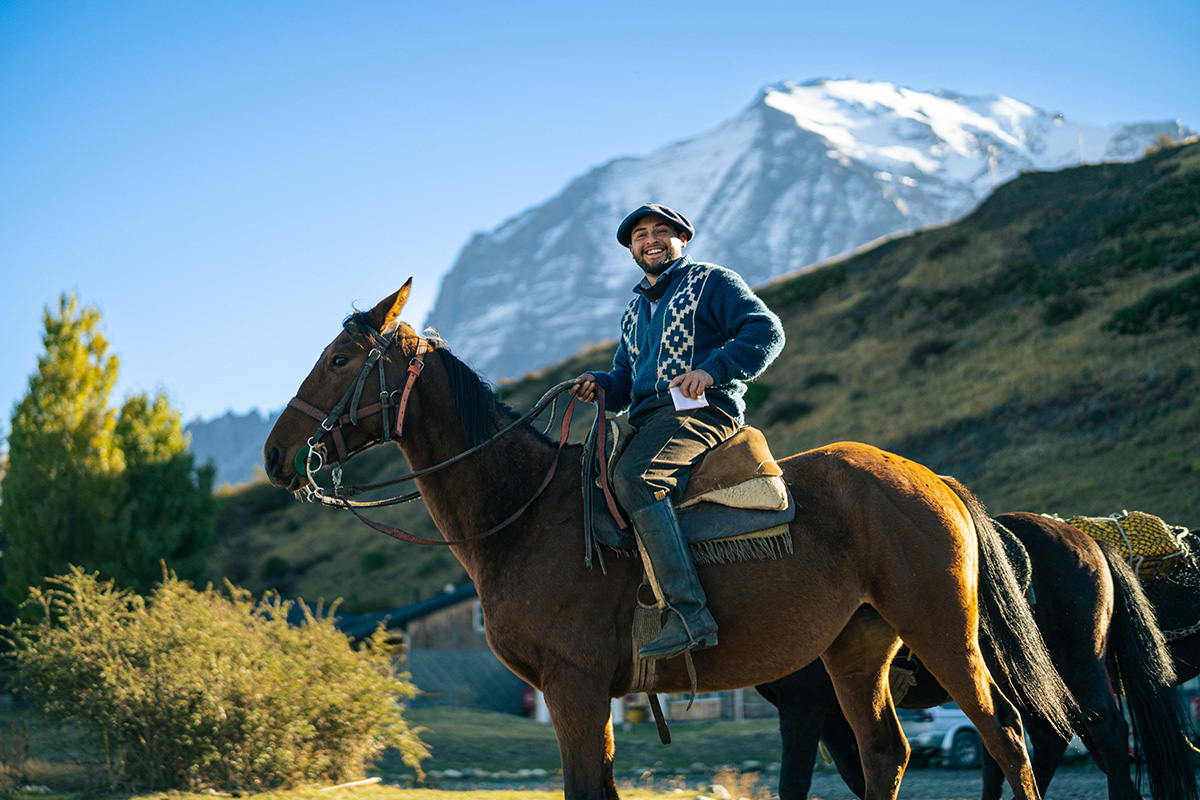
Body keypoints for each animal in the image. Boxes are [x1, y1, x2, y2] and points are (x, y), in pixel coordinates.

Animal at [753, 513, 1195, 800]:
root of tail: (1090, 543)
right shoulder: (829, 712)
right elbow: (860, 775)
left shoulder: (803, 702)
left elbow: (794, 781)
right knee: (1046, 740)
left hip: (1080, 665)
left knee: (1107, 734)